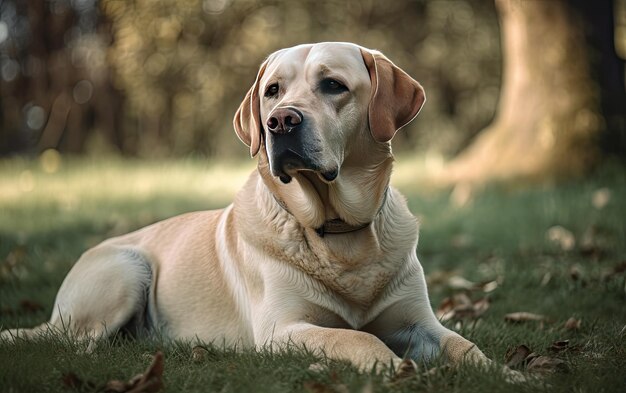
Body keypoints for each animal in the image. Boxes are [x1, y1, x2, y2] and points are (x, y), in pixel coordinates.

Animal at [2, 43, 492, 376]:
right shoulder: (283, 331)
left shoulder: (420, 323)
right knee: (81, 345)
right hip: (126, 269)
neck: (338, 232)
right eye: (272, 91)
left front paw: (500, 372)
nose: (280, 121)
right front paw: (395, 367)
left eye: (333, 85)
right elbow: (358, 339)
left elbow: (465, 347)